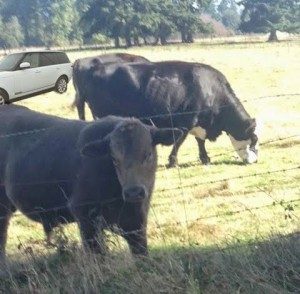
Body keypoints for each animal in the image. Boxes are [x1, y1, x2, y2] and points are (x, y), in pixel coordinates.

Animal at [0, 104, 182, 270]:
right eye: (114, 158)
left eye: (148, 154)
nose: (133, 192)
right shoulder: (85, 216)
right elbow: (98, 256)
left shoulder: (137, 222)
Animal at [72, 60, 258, 167]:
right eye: (254, 140)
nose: (256, 161)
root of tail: (95, 67)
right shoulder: (186, 121)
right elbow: (179, 141)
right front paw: (173, 161)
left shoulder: (199, 123)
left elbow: (200, 141)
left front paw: (205, 158)